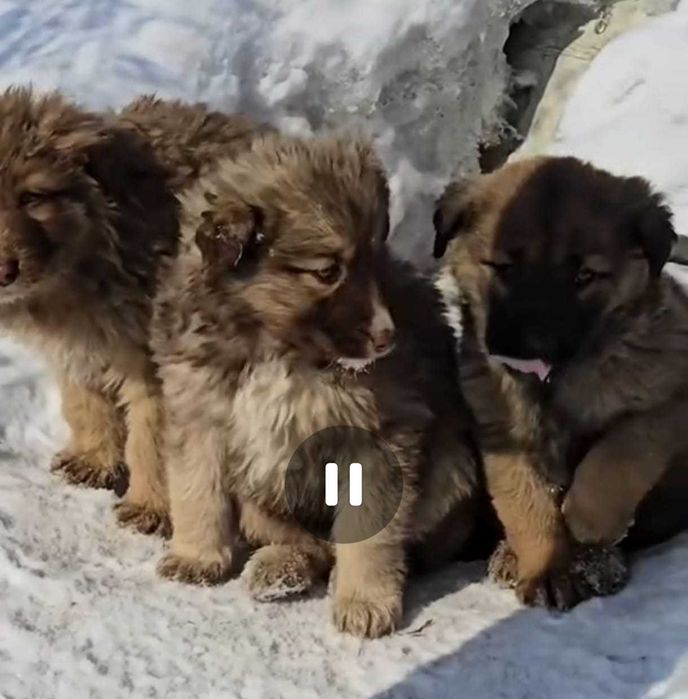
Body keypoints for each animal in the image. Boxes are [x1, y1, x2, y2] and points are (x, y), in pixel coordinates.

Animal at [0, 87, 259, 535]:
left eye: (32, 198)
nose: (5, 271)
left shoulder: (159, 365)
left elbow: (153, 441)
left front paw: (151, 506)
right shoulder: (78, 345)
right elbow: (84, 401)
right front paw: (94, 457)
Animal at [151, 134, 485, 637]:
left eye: (375, 259)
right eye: (328, 272)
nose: (387, 337)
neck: (277, 349)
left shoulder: (377, 438)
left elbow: (369, 531)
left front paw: (365, 600)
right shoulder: (200, 410)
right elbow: (196, 487)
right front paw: (196, 555)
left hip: (450, 472)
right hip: (260, 499)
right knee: (306, 543)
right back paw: (279, 569)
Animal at [432, 156, 688, 608]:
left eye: (584, 275)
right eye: (505, 267)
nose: (533, 343)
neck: (555, 380)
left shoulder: (668, 399)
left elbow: (621, 451)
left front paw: (588, 519)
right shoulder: (504, 435)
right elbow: (526, 503)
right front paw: (545, 567)